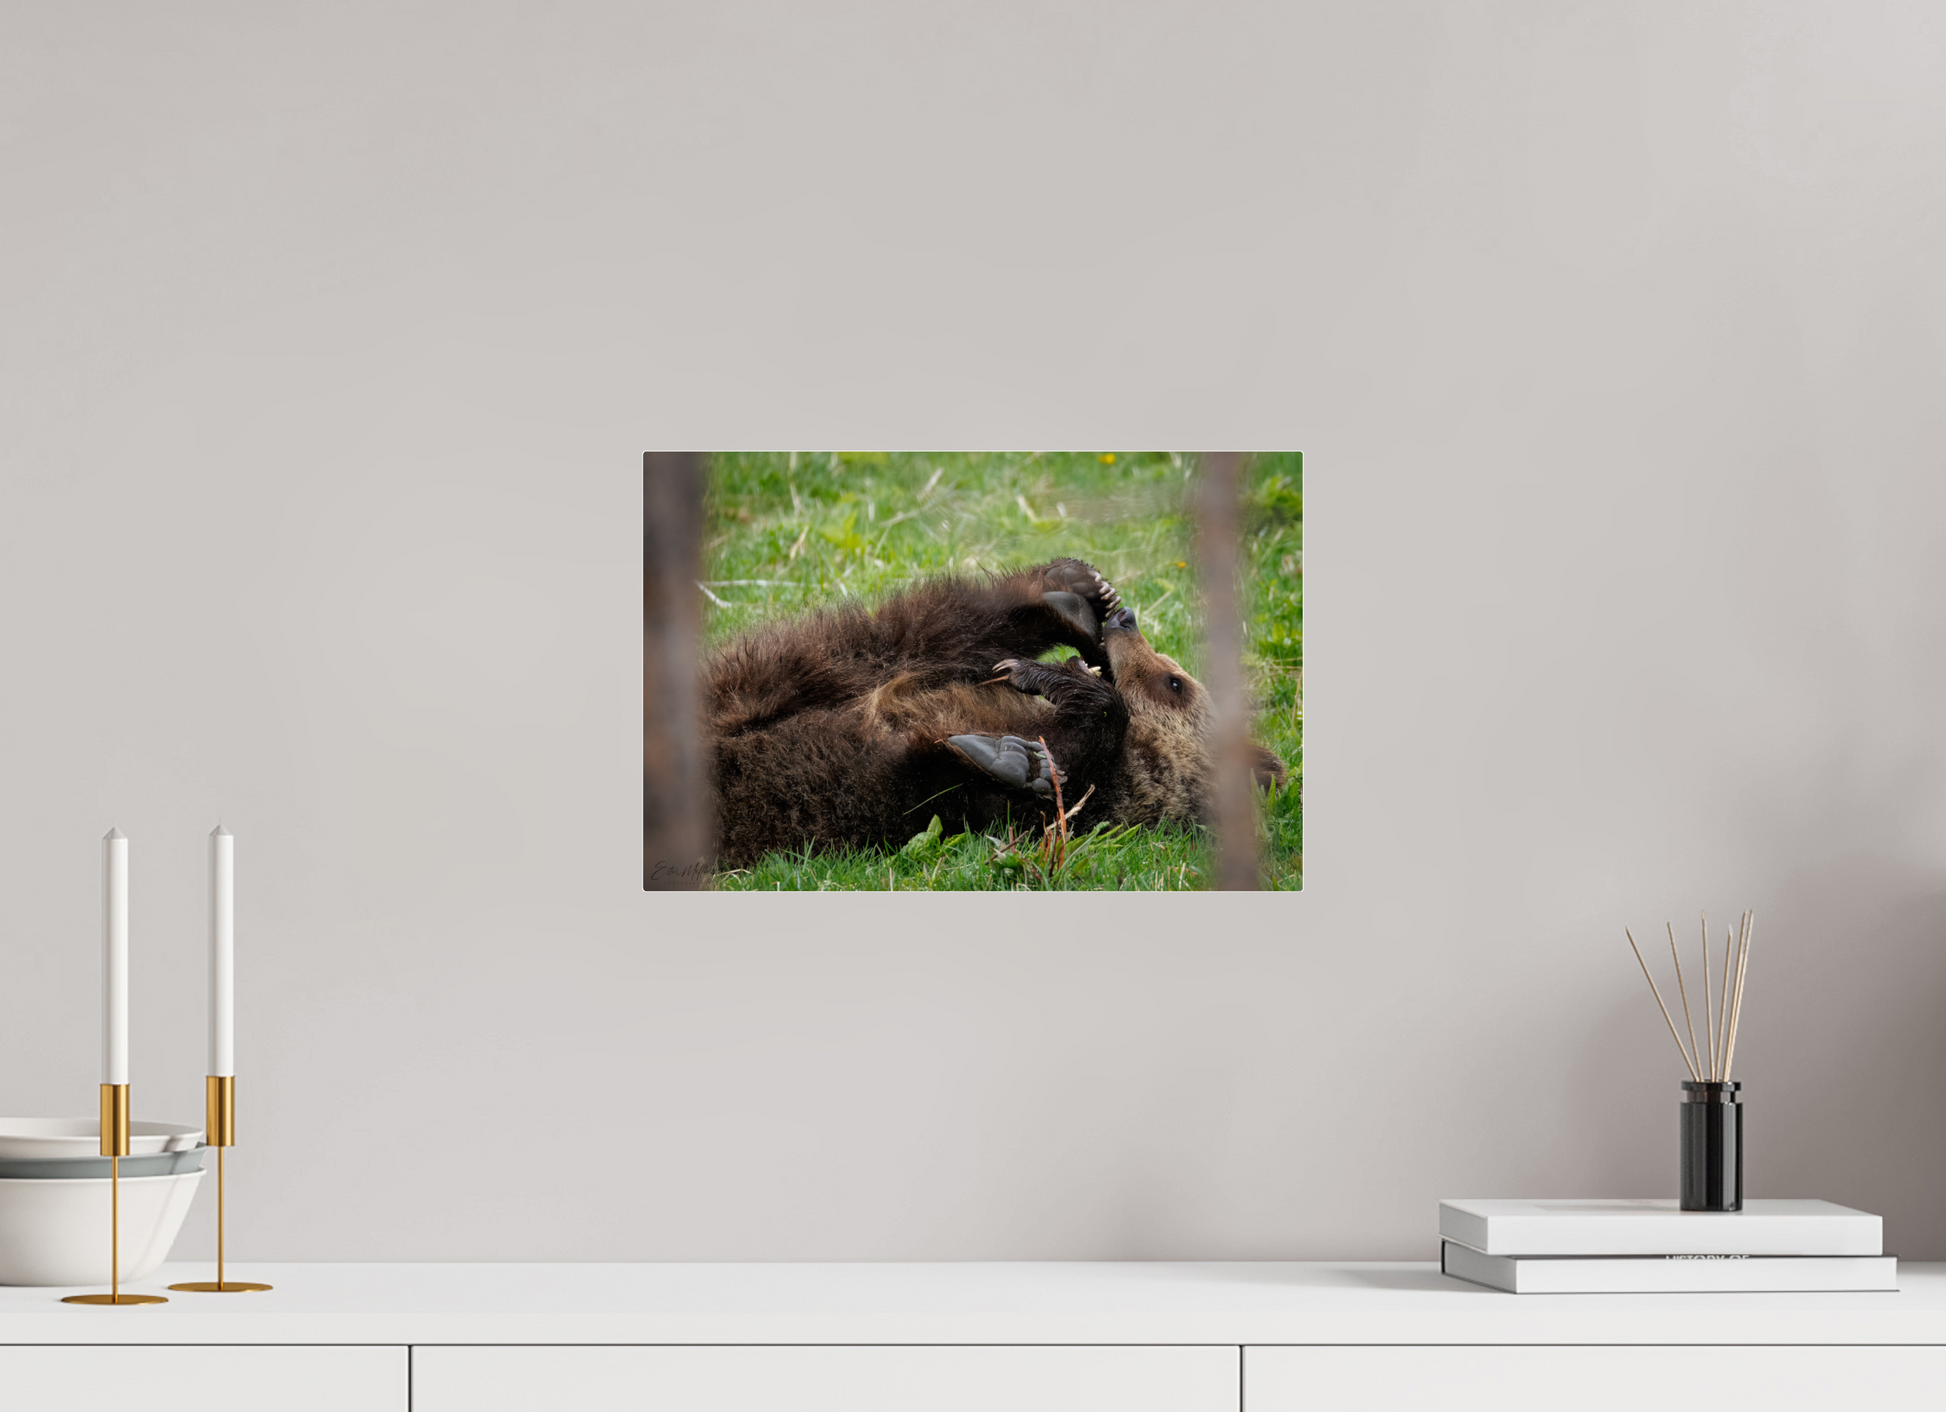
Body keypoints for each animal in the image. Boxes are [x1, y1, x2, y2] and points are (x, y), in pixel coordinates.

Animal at [704, 558, 1287, 868]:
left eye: (1174, 683)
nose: (1126, 620)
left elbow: (945, 783)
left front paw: (1016, 755)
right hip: (779, 673)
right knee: (907, 635)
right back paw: (1068, 595)